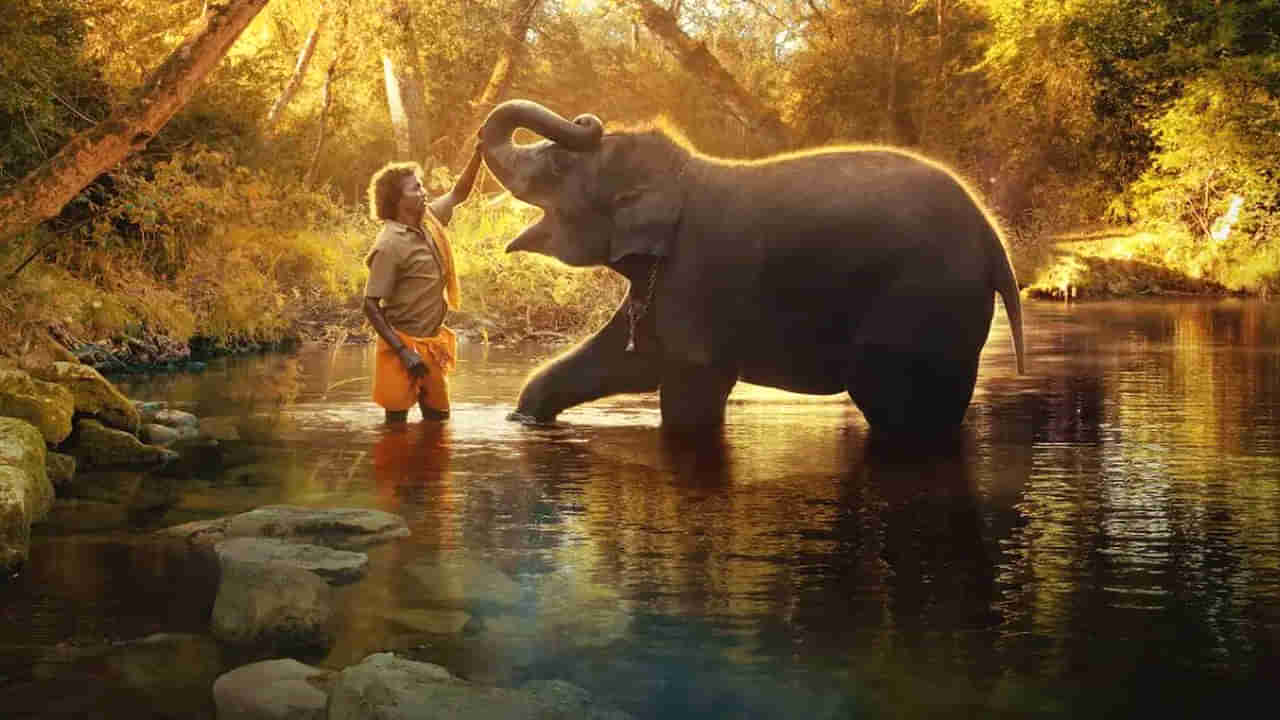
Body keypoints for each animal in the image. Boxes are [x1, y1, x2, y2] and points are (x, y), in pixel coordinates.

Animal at [478, 99, 1026, 434]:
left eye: (557, 167)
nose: (587, 119)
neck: (680, 173)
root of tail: (995, 242)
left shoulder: (698, 275)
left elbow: (691, 386)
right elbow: (627, 360)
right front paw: (525, 419)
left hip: (920, 300)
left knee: (894, 404)